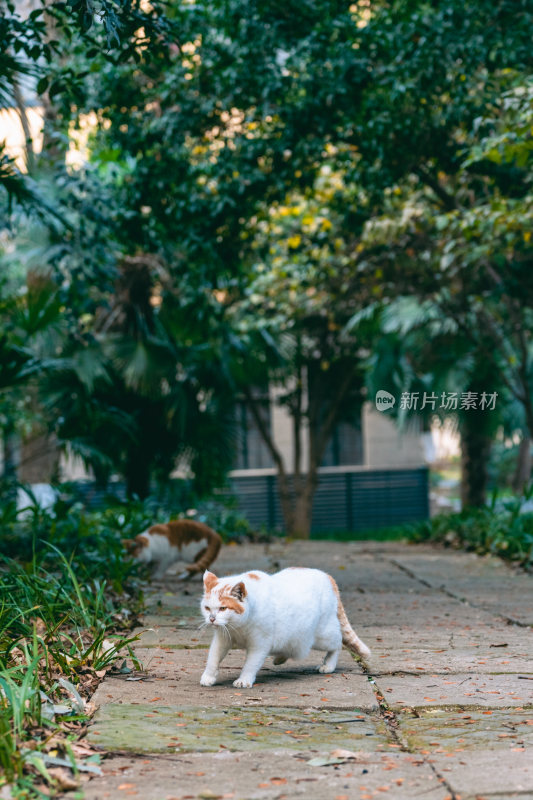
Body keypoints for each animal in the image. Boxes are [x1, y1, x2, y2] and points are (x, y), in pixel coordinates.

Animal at [200, 568, 370, 688]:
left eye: (223, 608)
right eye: (207, 608)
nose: (212, 619)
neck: (238, 627)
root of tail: (327, 576)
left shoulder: (259, 645)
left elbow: (250, 664)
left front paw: (244, 680)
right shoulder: (222, 640)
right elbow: (213, 658)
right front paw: (208, 677)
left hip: (322, 636)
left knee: (338, 642)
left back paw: (328, 665)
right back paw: (279, 658)